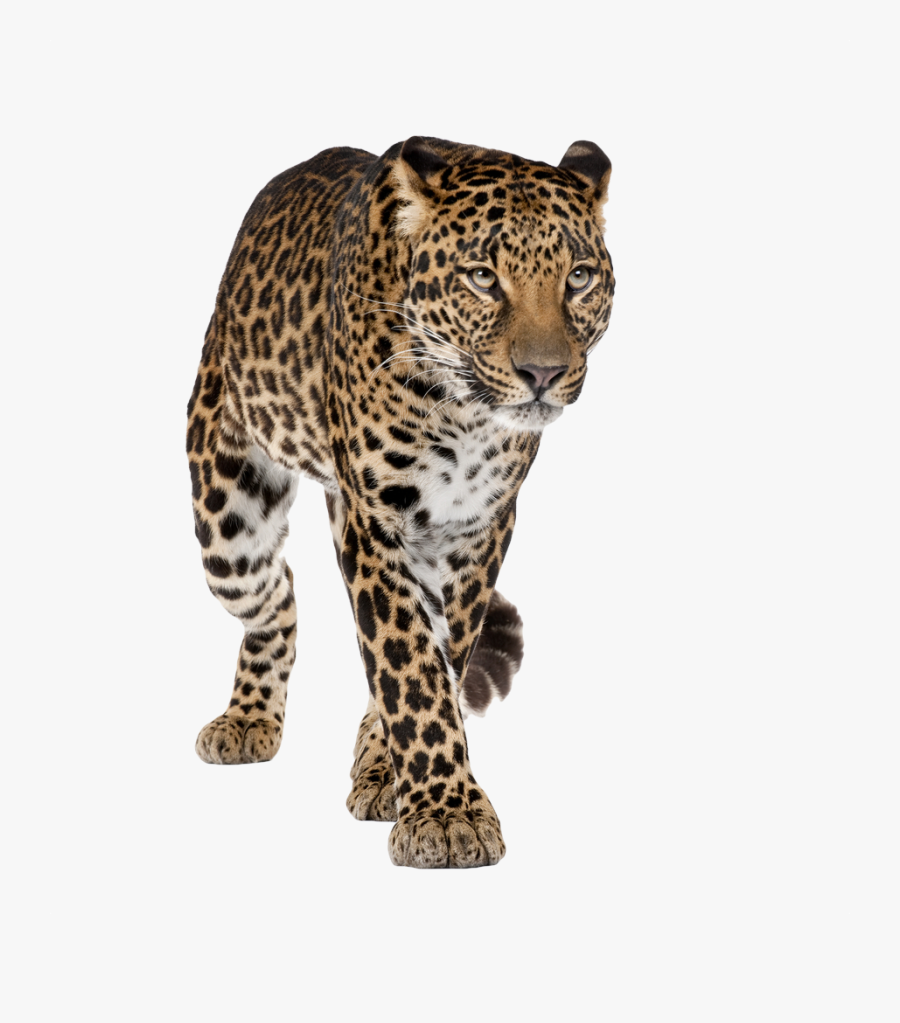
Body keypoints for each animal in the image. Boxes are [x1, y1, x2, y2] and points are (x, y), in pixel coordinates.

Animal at [186, 136, 614, 868]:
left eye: (579, 277)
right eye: (482, 277)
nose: (544, 374)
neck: (465, 415)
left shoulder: (478, 526)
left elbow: (441, 654)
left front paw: (392, 775)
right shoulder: (375, 520)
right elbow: (408, 662)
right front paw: (446, 815)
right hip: (227, 515)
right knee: (278, 597)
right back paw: (247, 718)